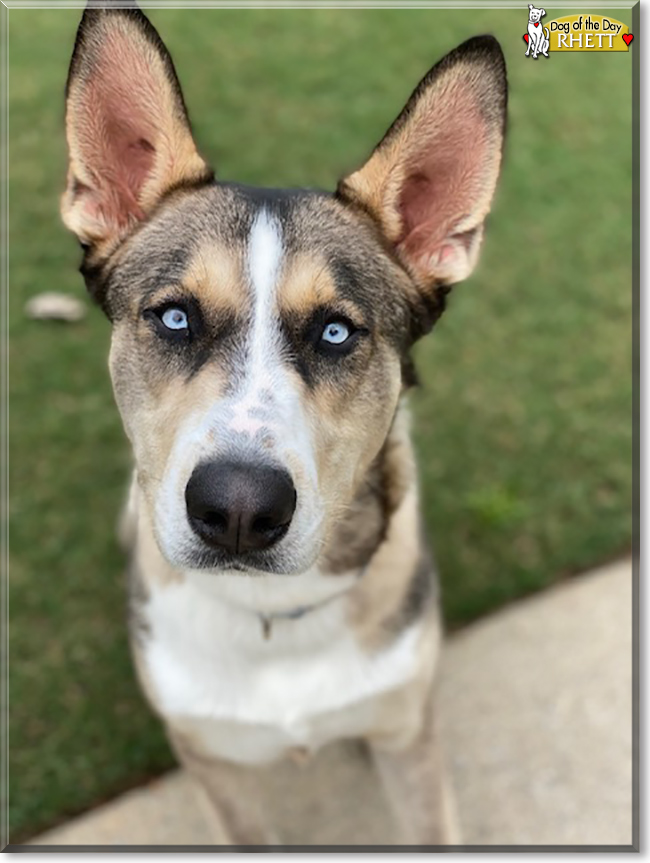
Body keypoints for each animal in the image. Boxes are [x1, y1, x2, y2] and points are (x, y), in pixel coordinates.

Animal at [60, 3, 506, 848]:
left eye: (335, 332)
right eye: (175, 317)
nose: (238, 509)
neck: (272, 620)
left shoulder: (409, 736)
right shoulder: (214, 765)